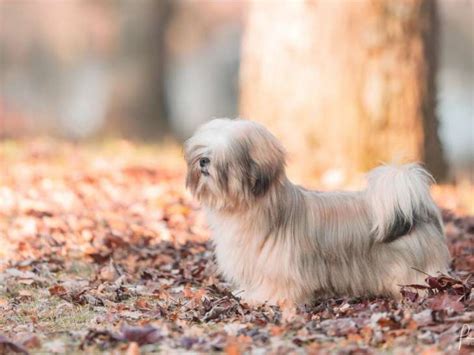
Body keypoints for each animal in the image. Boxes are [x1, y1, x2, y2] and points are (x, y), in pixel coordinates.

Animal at [183, 119, 450, 306]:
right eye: (203, 149)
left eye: (225, 157)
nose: (203, 161)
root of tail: (417, 210)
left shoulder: (279, 267)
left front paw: (263, 298)